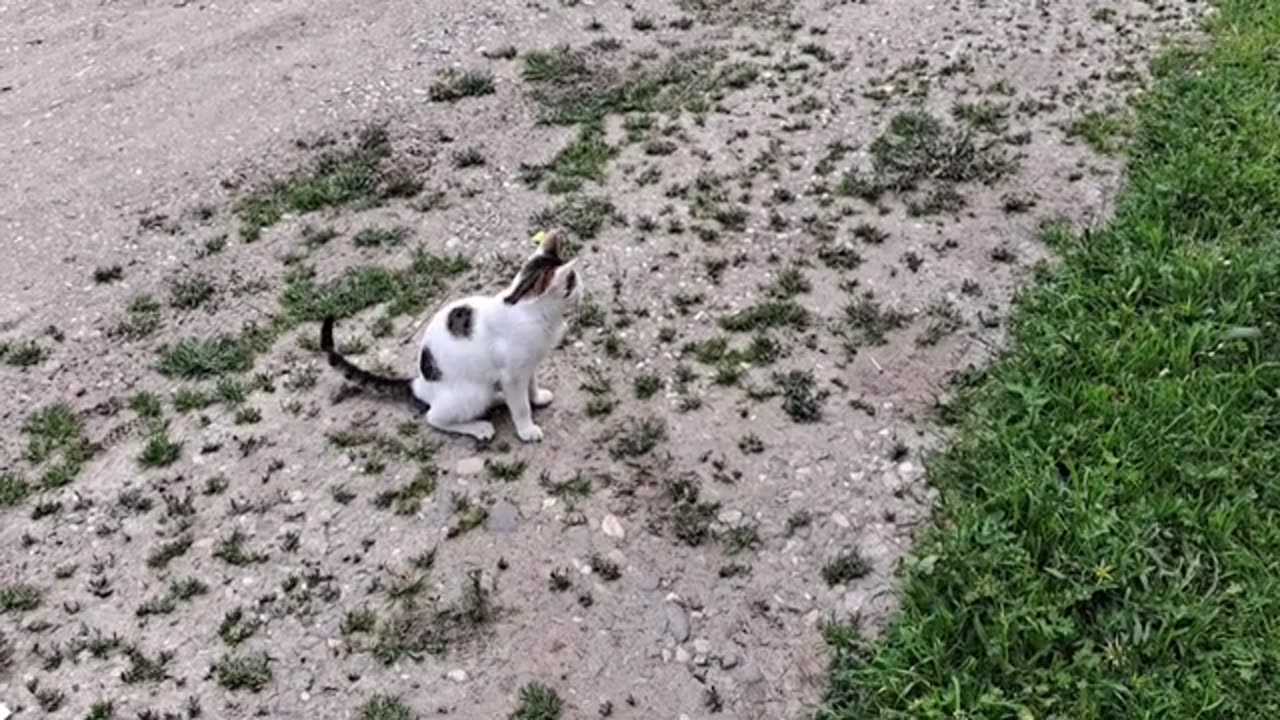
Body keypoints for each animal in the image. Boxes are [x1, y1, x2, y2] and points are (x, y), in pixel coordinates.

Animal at [320, 233, 581, 440]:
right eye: (572, 283)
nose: (583, 289)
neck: (528, 309)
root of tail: (421, 385)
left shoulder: (528, 365)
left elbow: (531, 386)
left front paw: (536, 397)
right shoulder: (512, 375)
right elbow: (520, 406)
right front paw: (527, 429)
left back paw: (498, 399)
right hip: (473, 393)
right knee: (434, 418)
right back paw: (478, 427)